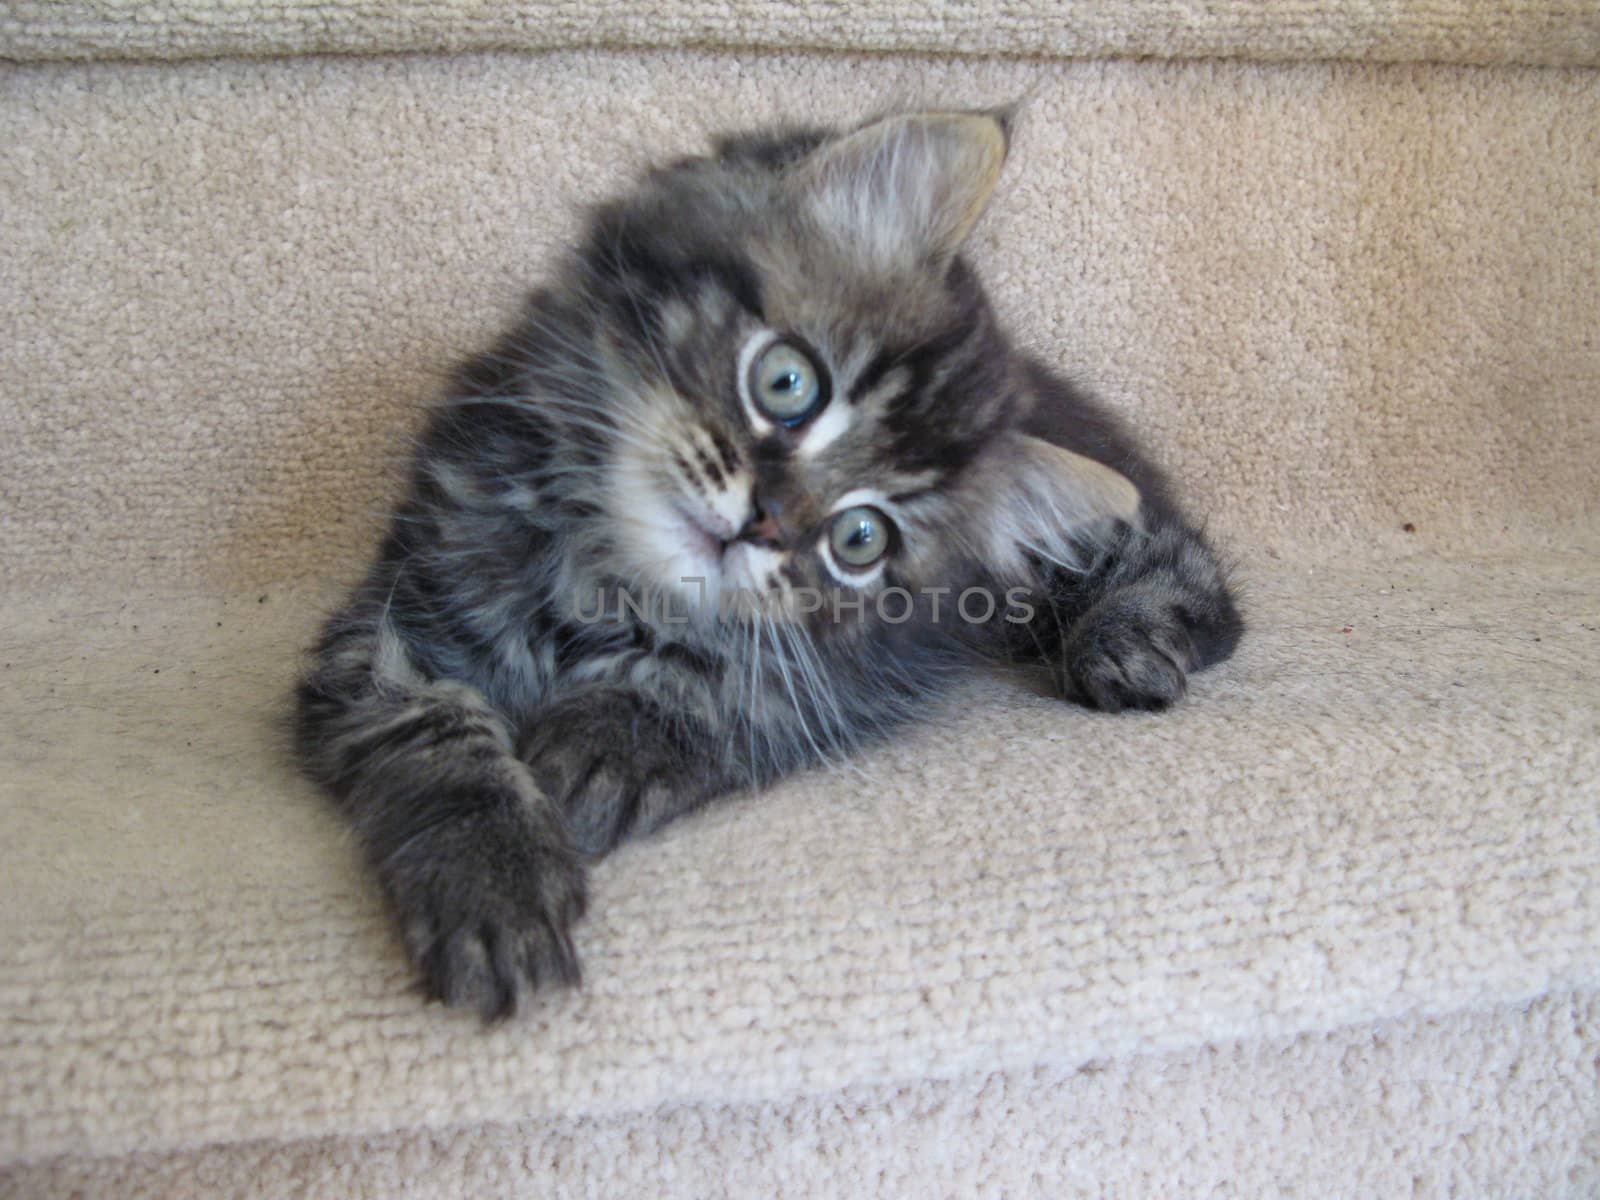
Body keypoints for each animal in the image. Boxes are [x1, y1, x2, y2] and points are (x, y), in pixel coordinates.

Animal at [294, 108, 1241, 1017]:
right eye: (788, 382)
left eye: (860, 539)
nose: (762, 524)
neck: (610, 584)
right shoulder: (398, 612)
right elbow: (434, 738)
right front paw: (490, 877)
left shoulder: (847, 677)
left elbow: (722, 690)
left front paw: (609, 743)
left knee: (1202, 581)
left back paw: (1125, 639)